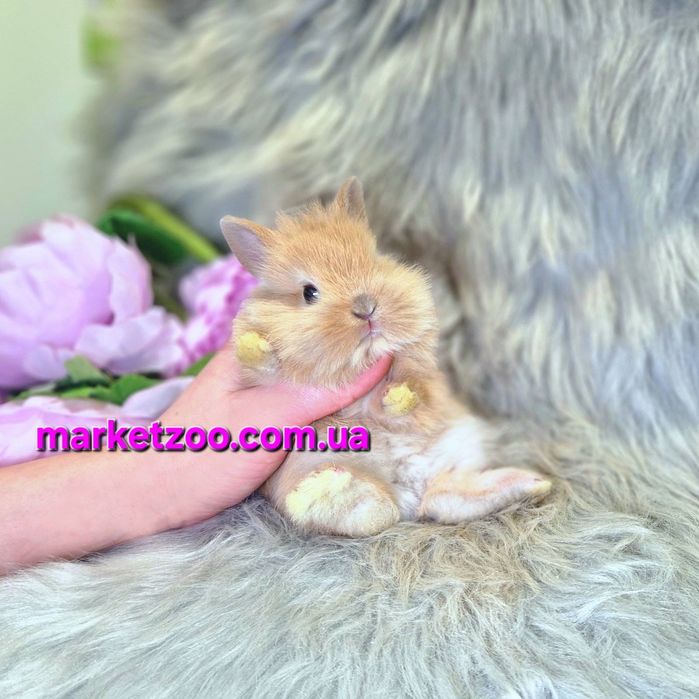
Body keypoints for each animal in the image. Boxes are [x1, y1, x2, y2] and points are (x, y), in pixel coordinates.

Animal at [220, 177, 551, 536]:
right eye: (309, 292)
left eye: (373, 260)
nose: (366, 308)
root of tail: (410, 490)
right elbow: (263, 365)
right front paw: (253, 344)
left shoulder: (415, 368)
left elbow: (405, 390)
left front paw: (400, 397)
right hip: (310, 466)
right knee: (379, 512)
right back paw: (328, 489)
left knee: (444, 497)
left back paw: (532, 482)